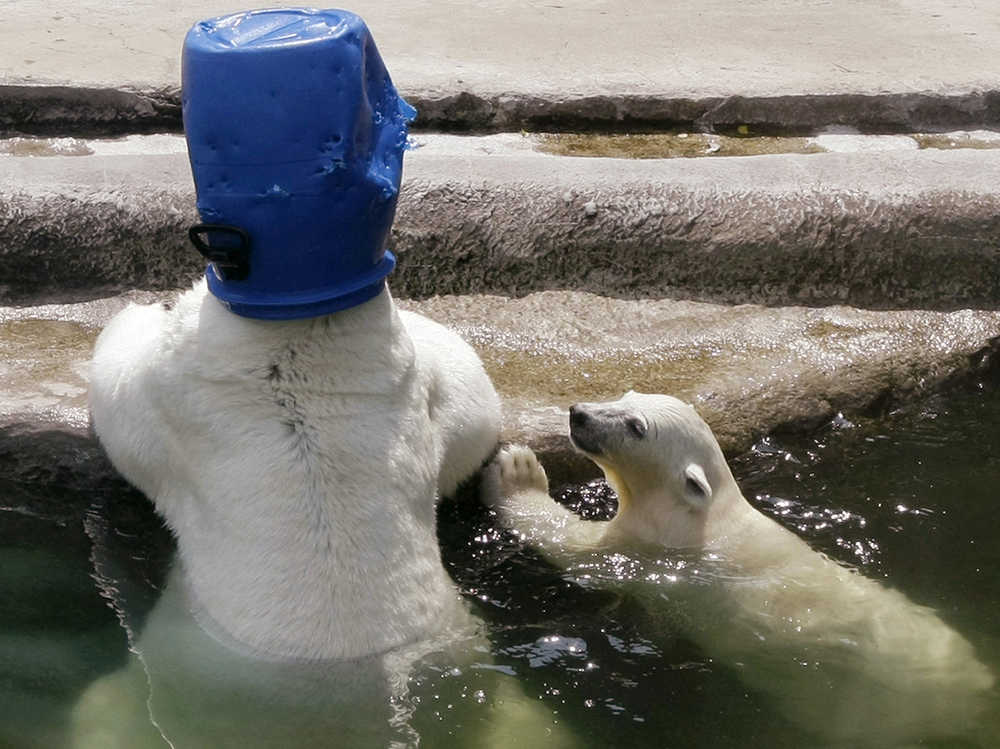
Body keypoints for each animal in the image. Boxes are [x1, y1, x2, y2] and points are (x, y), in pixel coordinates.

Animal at [482, 391, 996, 746]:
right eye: (627, 395)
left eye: (636, 426)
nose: (579, 414)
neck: (701, 512)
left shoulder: (651, 551)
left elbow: (575, 546)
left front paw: (517, 470)